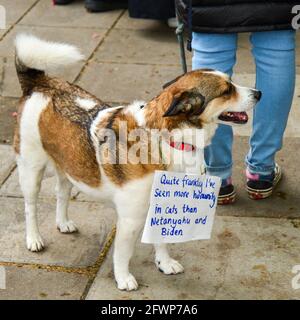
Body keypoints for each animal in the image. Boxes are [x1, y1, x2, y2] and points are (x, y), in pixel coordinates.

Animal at [13, 34, 260, 290]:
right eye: (227, 90)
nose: (259, 93)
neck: (167, 138)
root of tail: (39, 84)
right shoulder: (130, 219)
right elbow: (123, 253)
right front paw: (123, 278)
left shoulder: (162, 203)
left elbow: (161, 239)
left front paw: (164, 263)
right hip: (30, 170)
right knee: (30, 207)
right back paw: (34, 238)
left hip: (70, 164)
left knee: (61, 193)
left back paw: (63, 223)